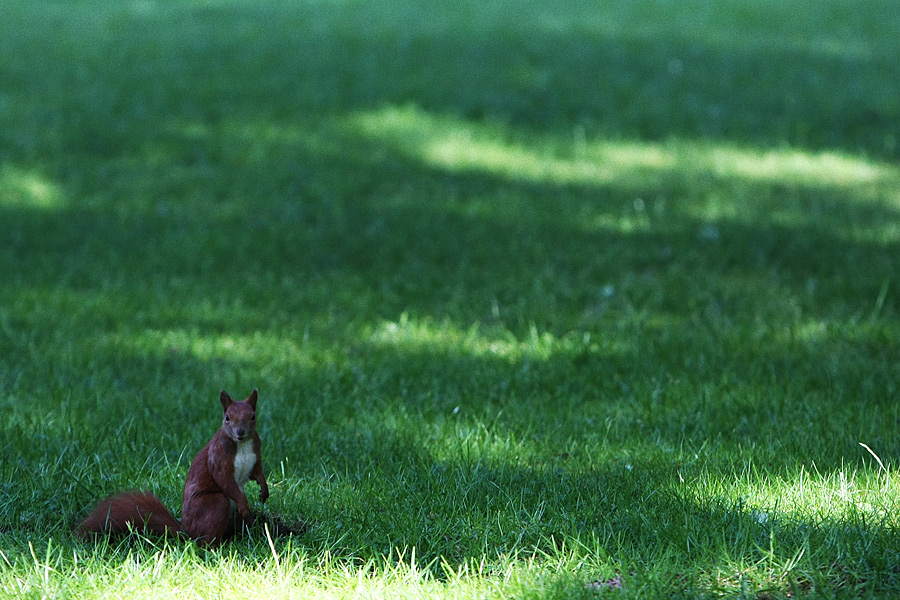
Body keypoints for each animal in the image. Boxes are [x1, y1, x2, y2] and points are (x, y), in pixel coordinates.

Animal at [78, 390, 268, 548]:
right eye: (227, 417)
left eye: (252, 416)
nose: (240, 432)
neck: (242, 445)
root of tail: (186, 533)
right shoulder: (219, 456)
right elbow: (224, 479)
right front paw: (243, 502)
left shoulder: (255, 454)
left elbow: (257, 472)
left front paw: (264, 491)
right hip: (214, 505)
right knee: (206, 537)